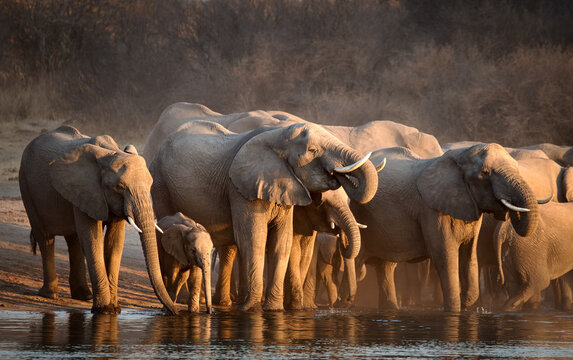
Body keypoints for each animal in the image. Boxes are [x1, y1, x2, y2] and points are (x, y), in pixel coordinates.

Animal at [19, 125, 177, 314]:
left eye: (150, 185)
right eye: (120, 187)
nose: (174, 312)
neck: (110, 153)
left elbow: (114, 243)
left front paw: (114, 309)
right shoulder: (85, 188)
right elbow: (92, 238)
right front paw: (105, 310)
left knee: (74, 240)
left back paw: (83, 296)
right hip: (26, 185)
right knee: (45, 238)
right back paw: (50, 295)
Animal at [150, 120, 378, 310]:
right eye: (312, 150)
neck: (278, 135)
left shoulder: (285, 187)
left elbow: (282, 242)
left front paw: (274, 309)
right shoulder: (241, 188)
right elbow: (254, 239)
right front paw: (251, 309)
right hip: (160, 183)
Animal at [350, 143, 540, 312]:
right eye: (485, 173)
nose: (508, 211)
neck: (460, 155)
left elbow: (469, 254)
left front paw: (466, 301)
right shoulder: (431, 210)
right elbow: (445, 256)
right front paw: (454, 309)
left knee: (386, 267)